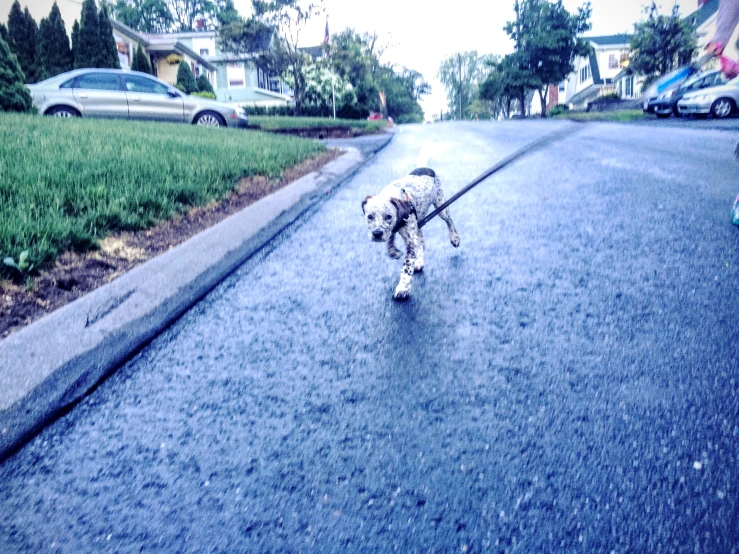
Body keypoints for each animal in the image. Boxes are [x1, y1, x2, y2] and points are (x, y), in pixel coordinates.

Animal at [362, 167, 460, 300]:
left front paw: (403, 288)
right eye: (370, 216)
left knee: (449, 220)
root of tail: (427, 168)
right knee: (421, 241)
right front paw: (392, 250)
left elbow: (406, 267)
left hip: (441, 207)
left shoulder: (409, 242)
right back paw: (419, 262)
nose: (377, 234)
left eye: (388, 216)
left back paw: (455, 238)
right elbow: (391, 237)